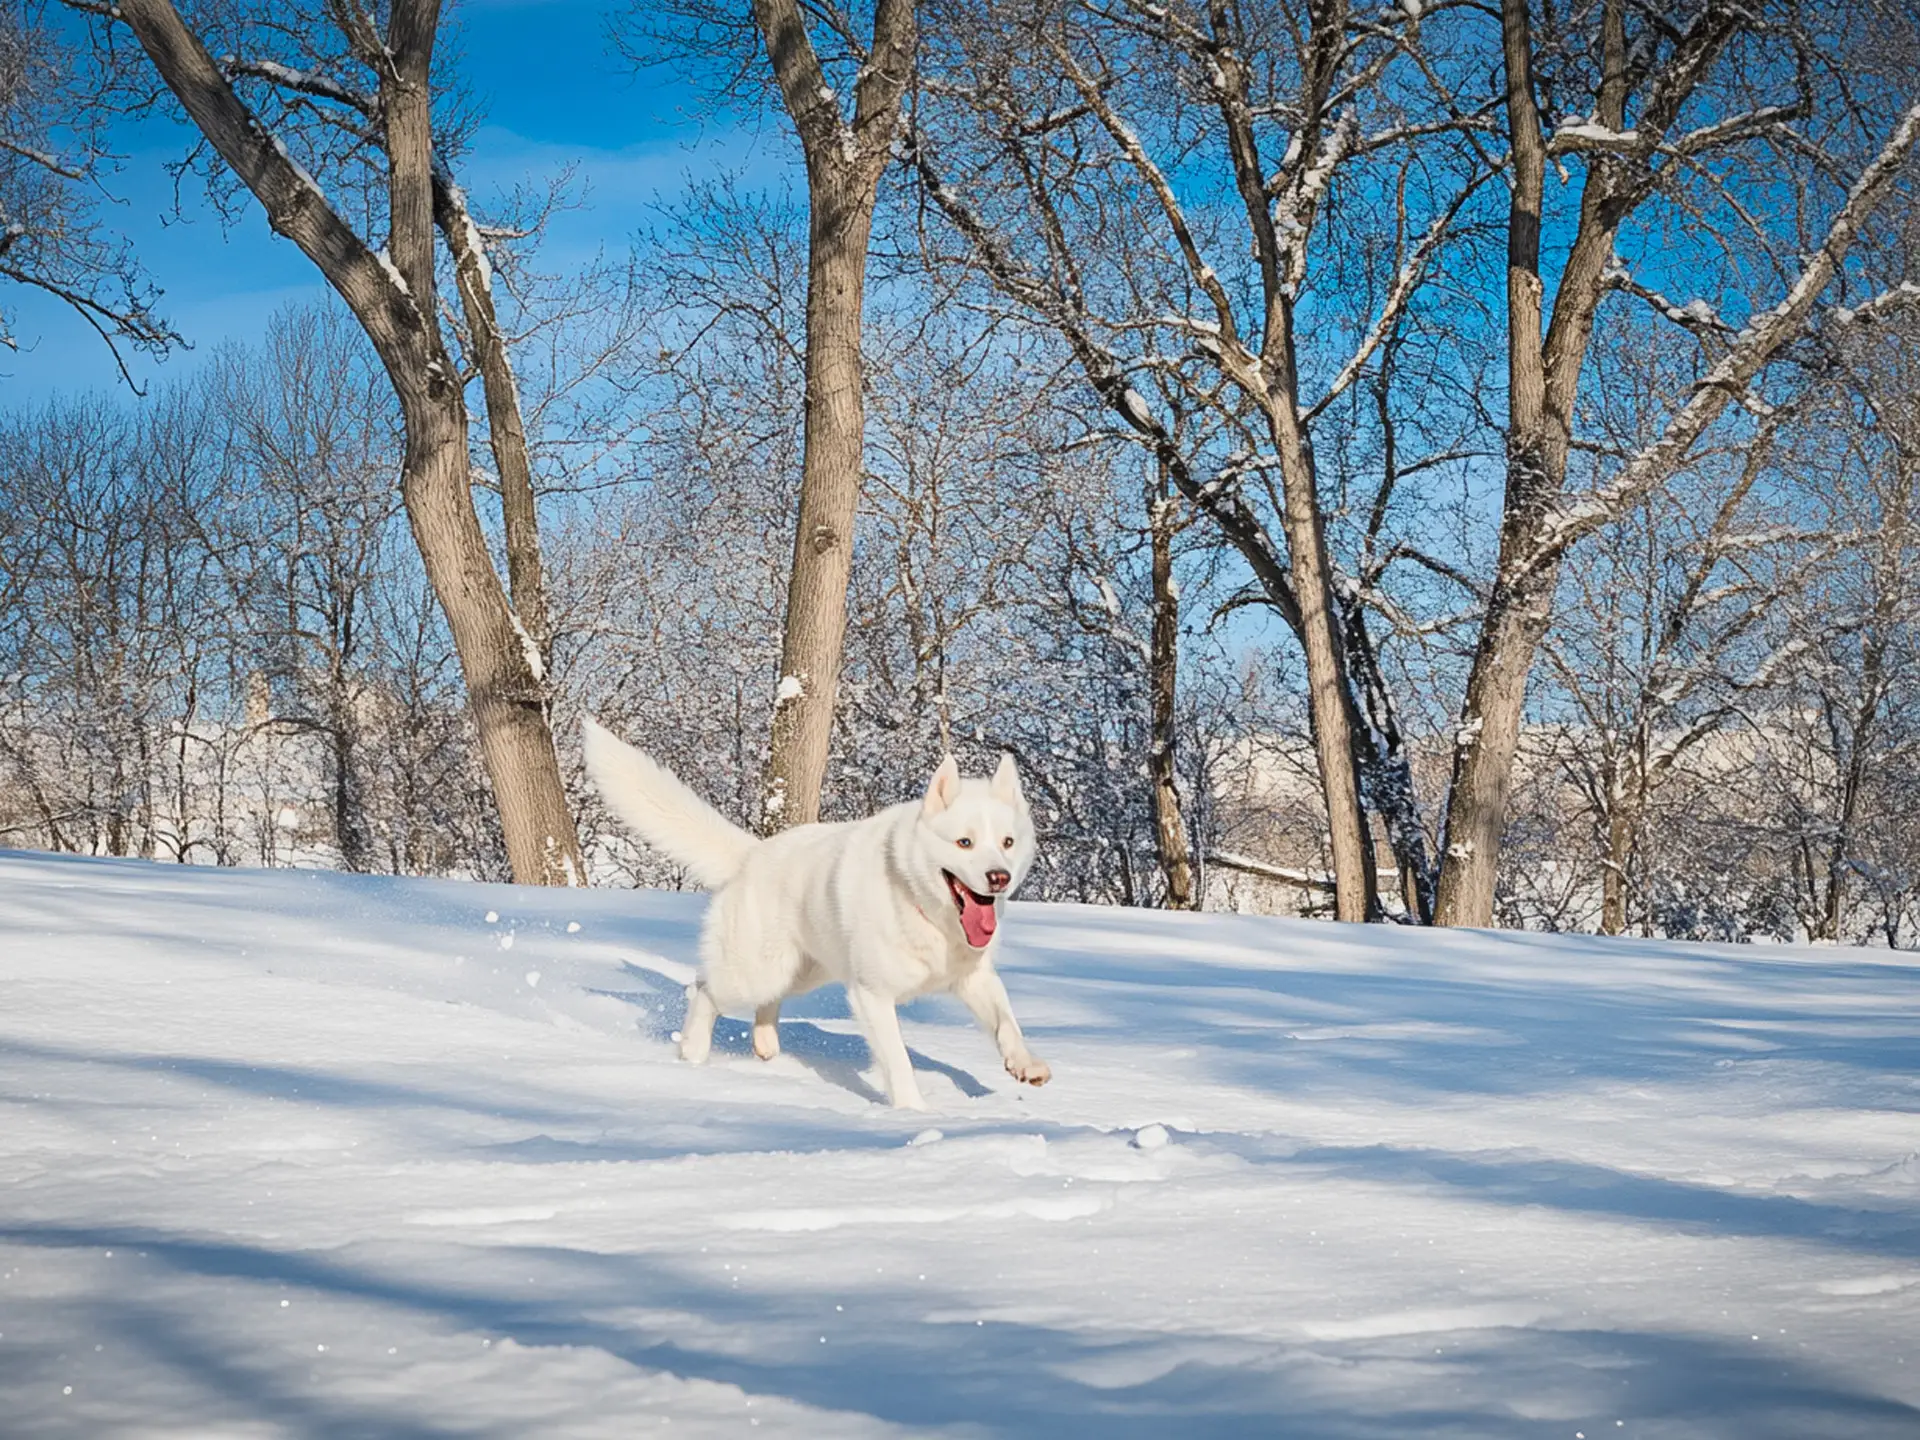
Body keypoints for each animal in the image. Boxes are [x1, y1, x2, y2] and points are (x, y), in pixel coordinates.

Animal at [579, 721, 1052, 1113]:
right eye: (964, 843)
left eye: (1008, 842)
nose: (998, 877)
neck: (926, 911)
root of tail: (751, 854)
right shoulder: (871, 996)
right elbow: (898, 1061)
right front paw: (913, 1113)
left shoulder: (975, 979)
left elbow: (1007, 1023)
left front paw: (1025, 1064)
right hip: (755, 972)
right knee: (703, 989)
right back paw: (693, 1051)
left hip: (806, 970)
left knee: (766, 1001)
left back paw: (765, 1043)